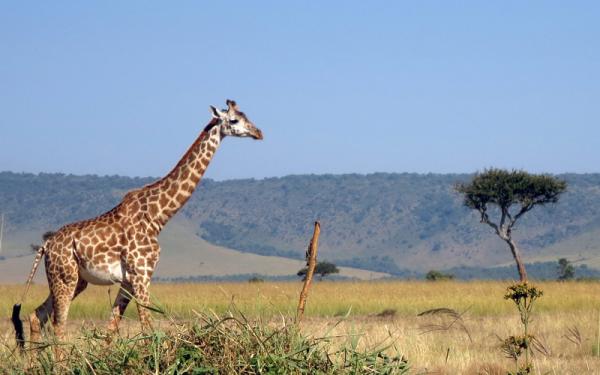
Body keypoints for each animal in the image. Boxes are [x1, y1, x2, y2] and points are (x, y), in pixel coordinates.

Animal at [12, 99, 262, 346]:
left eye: (246, 115)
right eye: (234, 120)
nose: (258, 133)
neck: (158, 216)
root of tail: (46, 245)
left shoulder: (129, 279)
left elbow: (111, 330)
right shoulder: (142, 274)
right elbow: (147, 327)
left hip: (75, 280)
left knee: (37, 315)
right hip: (65, 277)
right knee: (59, 326)